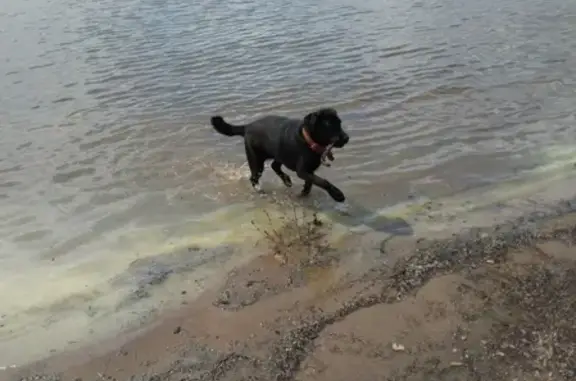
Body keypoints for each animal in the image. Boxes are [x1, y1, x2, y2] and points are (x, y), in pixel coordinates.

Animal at [209, 107, 348, 202]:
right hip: (256, 160)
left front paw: (303, 193)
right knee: (254, 177)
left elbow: (310, 182)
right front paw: (338, 194)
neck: (308, 140)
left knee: (274, 166)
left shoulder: (309, 171)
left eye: (340, 123)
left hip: (279, 154)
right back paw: (260, 191)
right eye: (328, 124)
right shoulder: (302, 171)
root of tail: (247, 126)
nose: (346, 138)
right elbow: (322, 181)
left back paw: (286, 180)